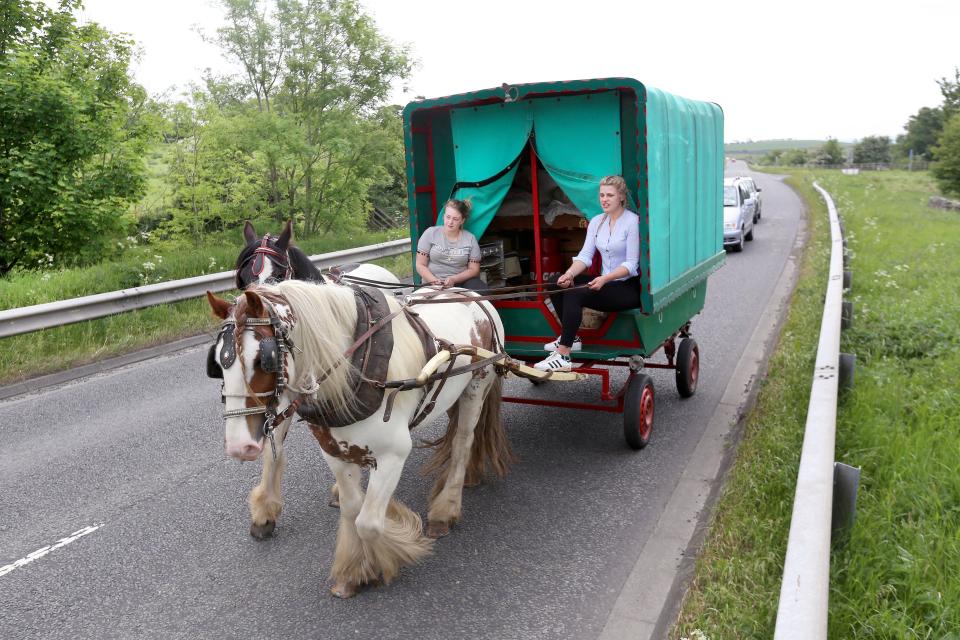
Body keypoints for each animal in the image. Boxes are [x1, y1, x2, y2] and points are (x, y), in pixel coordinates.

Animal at [207, 282, 512, 596]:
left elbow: (368, 522)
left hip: (477, 386)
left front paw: (392, 551)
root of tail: (471, 294)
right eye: (217, 363)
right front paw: (352, 571)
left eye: (262, 359)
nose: (239, 446)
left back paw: (445, 509)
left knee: (463, 442)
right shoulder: (335, 452)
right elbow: (352, 509)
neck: (354, 371)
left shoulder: (392, 456)